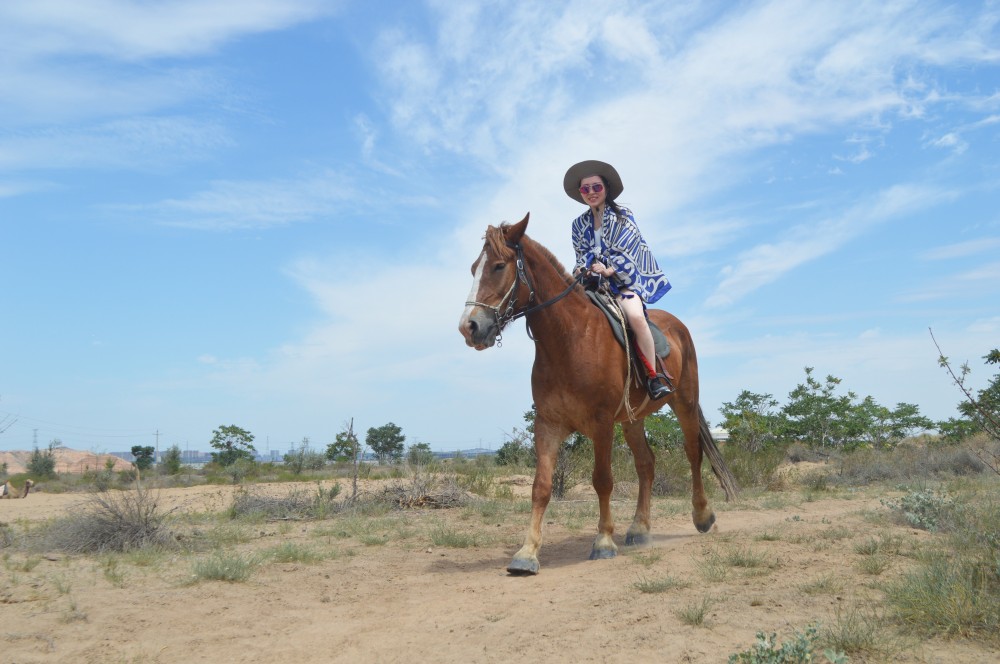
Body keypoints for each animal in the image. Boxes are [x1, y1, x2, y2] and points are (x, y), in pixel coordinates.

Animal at [458, 214, 736, 576]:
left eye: (498, 266)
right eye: (474, 268)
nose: (469, 327)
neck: (570, 339)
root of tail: (678, 327)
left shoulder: (601, 423)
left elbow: (602, 480)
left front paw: (603, 541)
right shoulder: (548, 425)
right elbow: (541, 486)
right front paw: (527, 552)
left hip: (684, 403)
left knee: (693, 453)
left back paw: (702, 515)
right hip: (633, 419)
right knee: (646, 464)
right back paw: (639, 528)